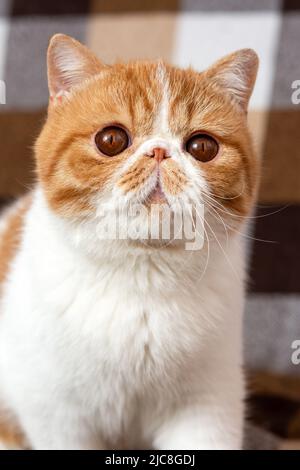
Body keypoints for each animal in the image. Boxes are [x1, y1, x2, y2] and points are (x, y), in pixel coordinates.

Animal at [0, 34, 258, 452]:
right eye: (111, 140)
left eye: (202, 147)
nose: (159, 151)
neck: (142, 275)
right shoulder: (56, 412)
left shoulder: (207, 406)